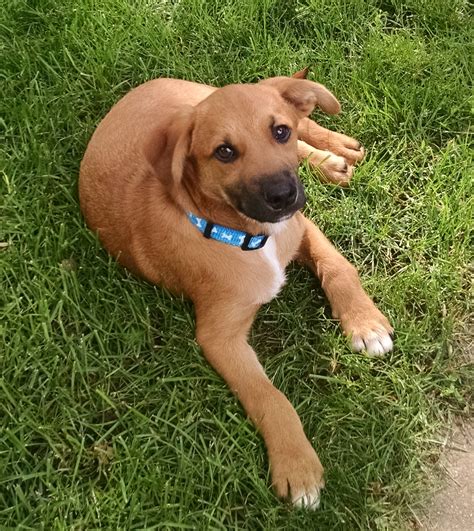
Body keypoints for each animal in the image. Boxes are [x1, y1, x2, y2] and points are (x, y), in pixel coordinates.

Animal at [80, 68, 392, 510]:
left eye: (278, 131)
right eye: (224, 152)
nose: (283, 195)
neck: (248, 234)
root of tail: (142, 88)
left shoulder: (301, 228)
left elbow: (338, 268)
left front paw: (365, 324)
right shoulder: (220, 337)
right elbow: (269, 398)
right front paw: (297, 466)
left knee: (304, 126)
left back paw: (334, 154)